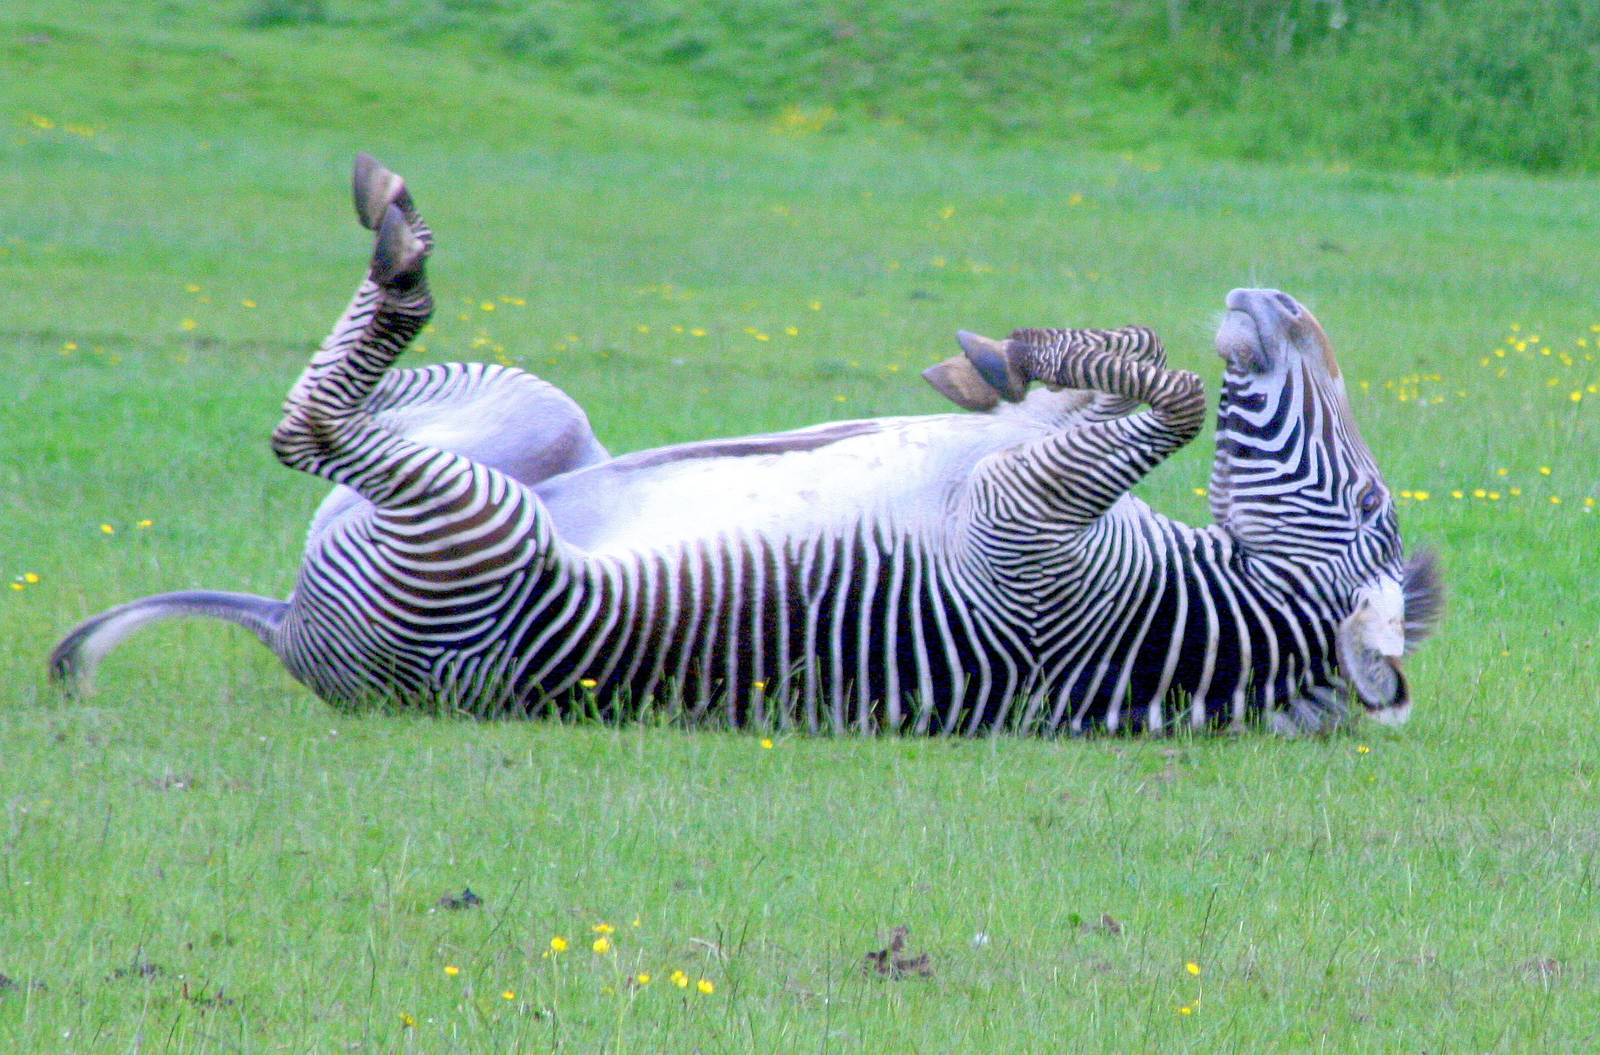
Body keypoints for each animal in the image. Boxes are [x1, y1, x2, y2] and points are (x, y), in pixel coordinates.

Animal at [51, 155, 1442, 735]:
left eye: (1370, 506)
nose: (1279, 296)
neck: (1193, 606)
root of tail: (291, 624)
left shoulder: (1027, 540)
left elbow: (1180, 399)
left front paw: (1034, 355)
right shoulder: (1034, 490)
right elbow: (1123, 382)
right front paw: (1000, 364)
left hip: (475, 535)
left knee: (311, 428)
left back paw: (397, 246)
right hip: (540, 419)